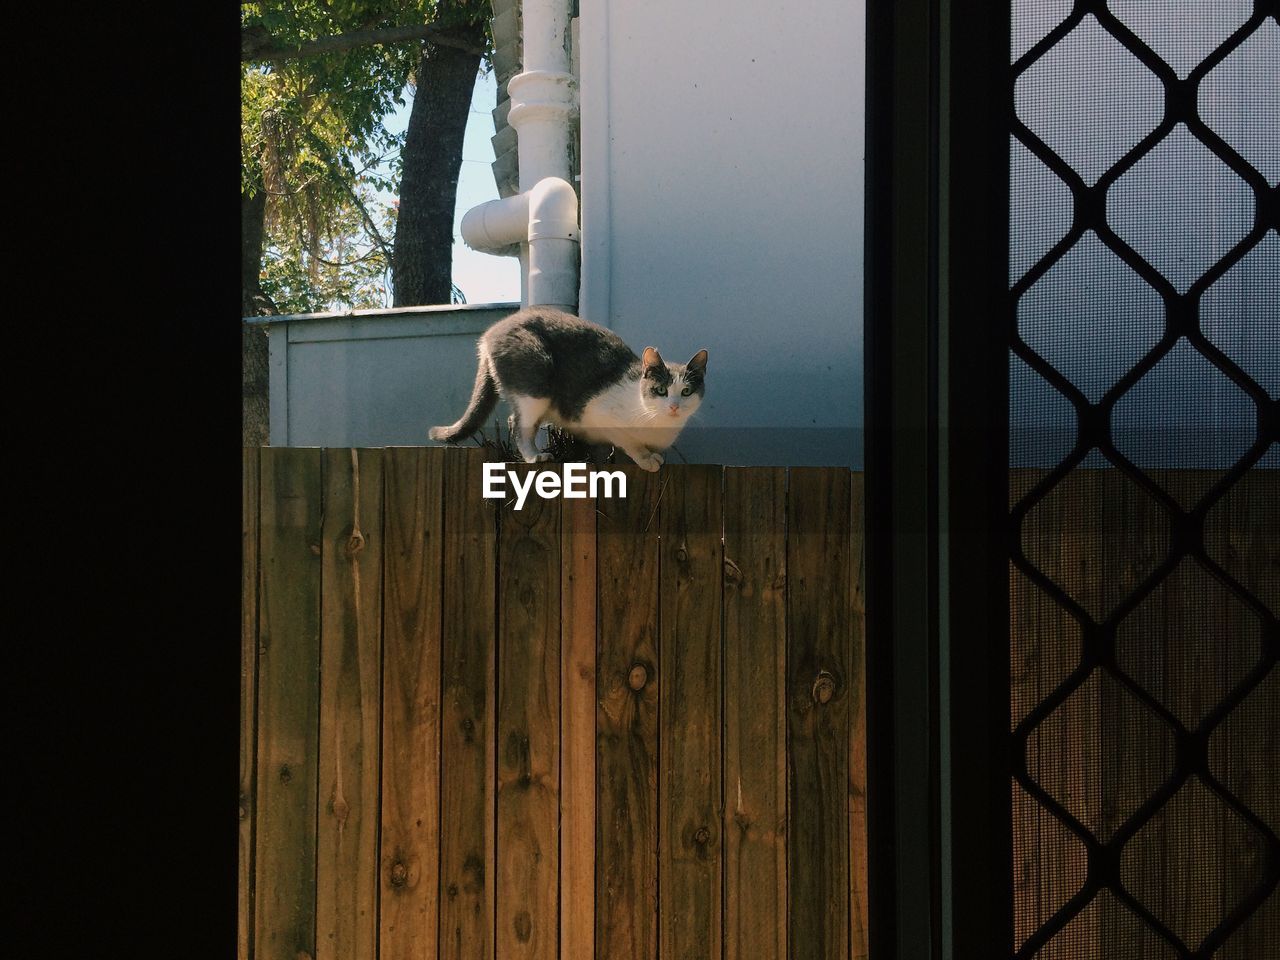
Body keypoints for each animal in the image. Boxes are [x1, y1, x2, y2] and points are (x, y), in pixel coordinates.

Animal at [430, 308, 711, 473]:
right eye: (661, 390)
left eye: (686, 392)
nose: (674, 406)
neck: (658, 425)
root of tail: (490, 334)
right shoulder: (600, 414)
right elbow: (629, 442)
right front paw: (646, 459)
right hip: (536, 378)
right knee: (517, 423)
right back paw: (535, 456)